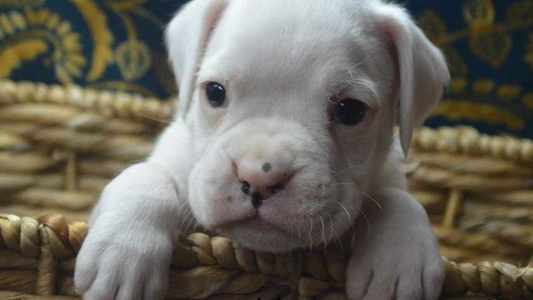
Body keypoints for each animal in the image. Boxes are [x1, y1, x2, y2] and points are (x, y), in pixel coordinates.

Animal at [75, 0, 448, 298]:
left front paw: (400, 260)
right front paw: (124, 249)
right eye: (214, 92)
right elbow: (146, 174)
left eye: (351, 111)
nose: (259, 177)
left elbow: (399, 198)